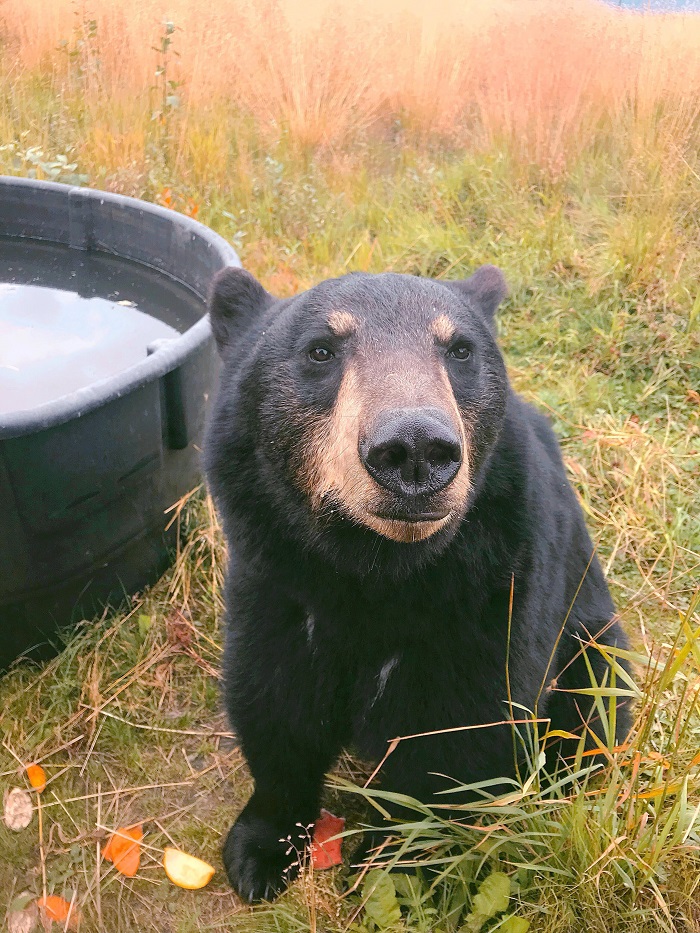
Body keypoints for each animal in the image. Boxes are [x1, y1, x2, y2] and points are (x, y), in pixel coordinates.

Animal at [203, 264, 630, 903]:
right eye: (321, 349)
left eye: (460, 349)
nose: (414, 449)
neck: (378, 571)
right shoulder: (276, 581)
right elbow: (275, 698)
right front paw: (262, 849)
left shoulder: (493, 595)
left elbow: (454, 736)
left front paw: (391, 867)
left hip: (591, 640)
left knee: (593, 714)